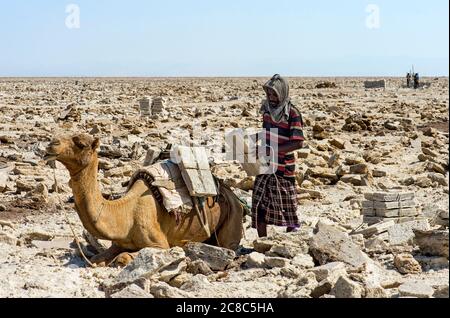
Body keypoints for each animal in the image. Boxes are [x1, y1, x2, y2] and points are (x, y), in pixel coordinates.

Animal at [44, 133, 244, 268]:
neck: (125, 213)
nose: (51, 144)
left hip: (233, 217)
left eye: (81, 143)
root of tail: (231, 193)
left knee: (230, 246)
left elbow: (123, 257)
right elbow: (95, 258)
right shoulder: (118, 242)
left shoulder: (161, 244)